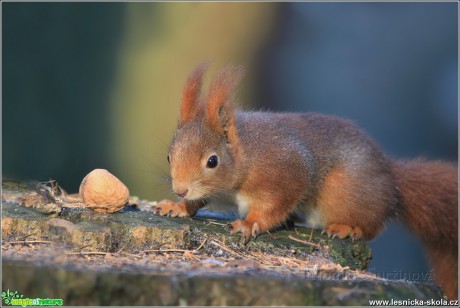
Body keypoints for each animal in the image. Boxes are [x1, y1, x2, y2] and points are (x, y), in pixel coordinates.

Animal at [154, 63, 456, 300]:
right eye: (169, 156)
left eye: (212, 161)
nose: (180, 188)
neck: (246, 155)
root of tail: (391, 178)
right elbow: (199, 200)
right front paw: (177, 206)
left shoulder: (286, 172)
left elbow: (277, 204)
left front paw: (250, 223)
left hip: (344, 194)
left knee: (372, 225)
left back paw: (348, 228)